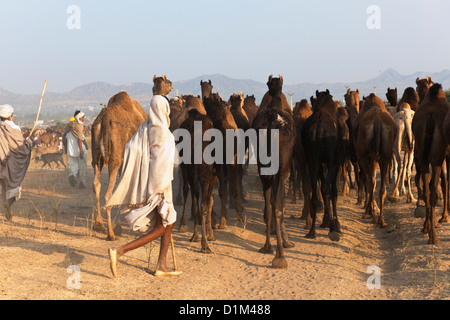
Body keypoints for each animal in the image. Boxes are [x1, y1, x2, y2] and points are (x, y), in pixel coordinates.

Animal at [354, 92, 396, 228]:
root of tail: (377, 120)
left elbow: (367, 178)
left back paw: (368, 213)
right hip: (386, 154)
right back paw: (381, 220)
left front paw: (371, 211)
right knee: (381, 187)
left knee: (370, 180)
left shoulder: (366, 156)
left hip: (362, 154)